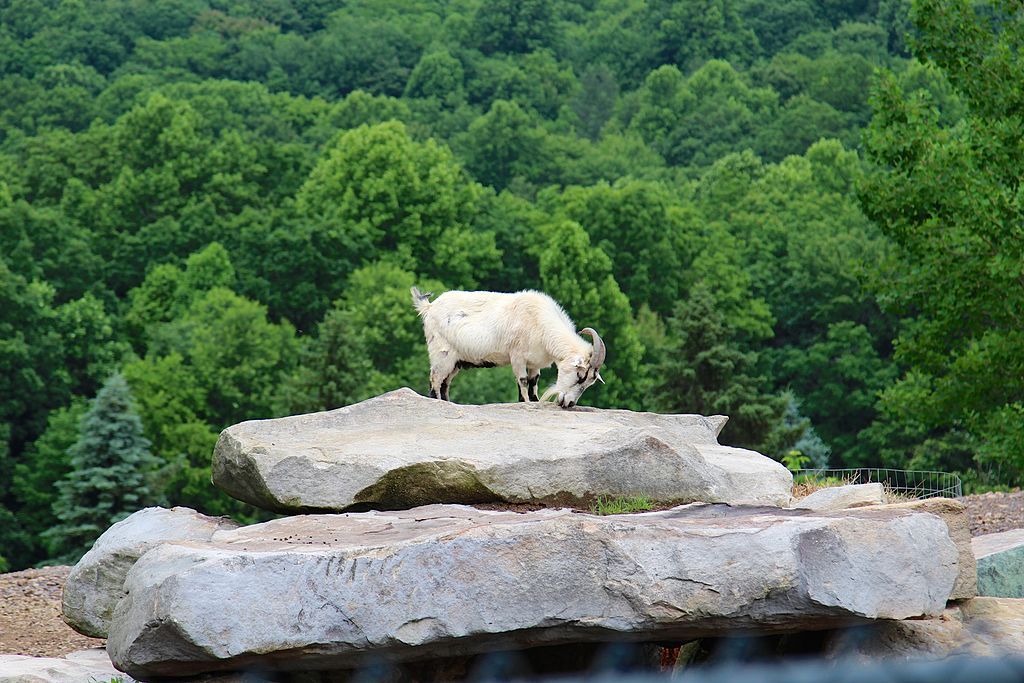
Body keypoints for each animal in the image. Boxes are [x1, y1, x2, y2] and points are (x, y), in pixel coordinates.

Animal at [411, 287, 606, 408]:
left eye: (590, 381)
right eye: (580, 376)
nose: (569, 403)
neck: (540, 323)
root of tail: (429, 307)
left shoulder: (534, 363)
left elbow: (534, 383)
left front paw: (535, 402)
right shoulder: (517, 356)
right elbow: (523, 381)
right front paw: (524, 403)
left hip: (456, 361)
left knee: (445, 383)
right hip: (442, 353)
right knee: (435, 380)